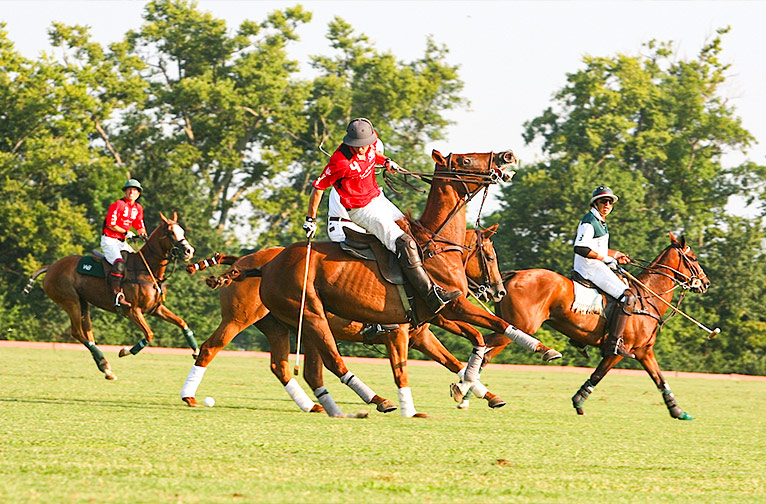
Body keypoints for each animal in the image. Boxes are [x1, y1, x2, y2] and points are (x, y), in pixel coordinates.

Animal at [23, 212, 197, 380]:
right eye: (170, 232)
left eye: (182, 231)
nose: (189, 251)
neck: (147, 270)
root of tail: (51, 267)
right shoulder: (133, 310)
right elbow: (149, 334)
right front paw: (124, 351)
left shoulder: (155, 308)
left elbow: (182, 323)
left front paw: (196, 352)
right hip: (70, 301)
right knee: (77, 332)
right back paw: (104, 364)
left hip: (83, 302)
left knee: (88, 333)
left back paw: (105, 367)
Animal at [180, 225, 511, 417]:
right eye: (490, 256)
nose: (498, 291)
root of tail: (244, 262)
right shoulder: (400, 334)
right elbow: (404, 369)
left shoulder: (422, 333)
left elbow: (454, 360)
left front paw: (481, 393)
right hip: (244, 319)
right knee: (210, 349)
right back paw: (190, 397)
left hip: (281, 326)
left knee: (285, 366)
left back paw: (313, 405)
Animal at [250, 149, 560, 415]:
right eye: (466, 160)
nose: (499, 291)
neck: (438, 245)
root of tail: (267, 266)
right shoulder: (447, 308)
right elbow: (494, 326)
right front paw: (543, 350)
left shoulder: (433, 319)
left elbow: (474, 342)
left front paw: (469, 388)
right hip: (311, 314)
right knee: (331, 362)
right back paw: (375, 401)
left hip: (297, 325)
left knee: (305, 369)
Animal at [481, 232, 710, 419]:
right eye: (694, 258)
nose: (706, 283)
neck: (648, 297)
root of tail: (513, 275)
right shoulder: (619, 350)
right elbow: (598, 374)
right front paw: (578, 402)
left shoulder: (644, 351)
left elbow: (659, 378)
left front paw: (677, 410)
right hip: (520, 327)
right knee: (482, 344)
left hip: (512, 328)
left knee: (486, 354)